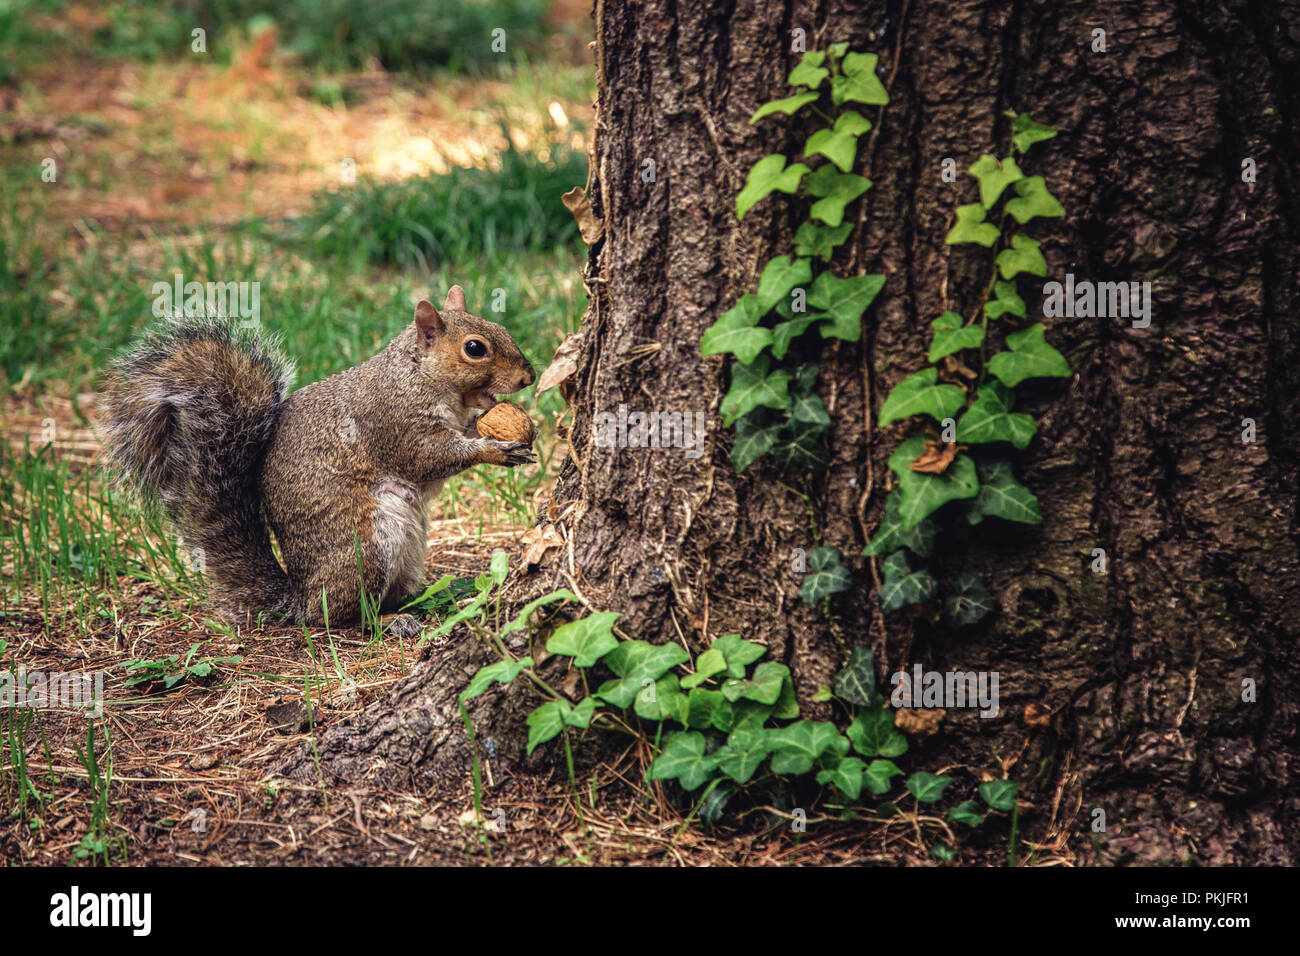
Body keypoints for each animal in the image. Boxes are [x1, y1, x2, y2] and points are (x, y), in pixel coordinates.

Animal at [100, 286, 536, 628]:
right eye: (475, 349)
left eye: (503, 330)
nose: (528, 377)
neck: (418, 375)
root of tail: (300, 596)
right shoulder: (393, 421)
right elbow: (427, 457)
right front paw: (494, 449)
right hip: (366, 549)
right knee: (339, 617)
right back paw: (387, 620)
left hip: (408, 552)